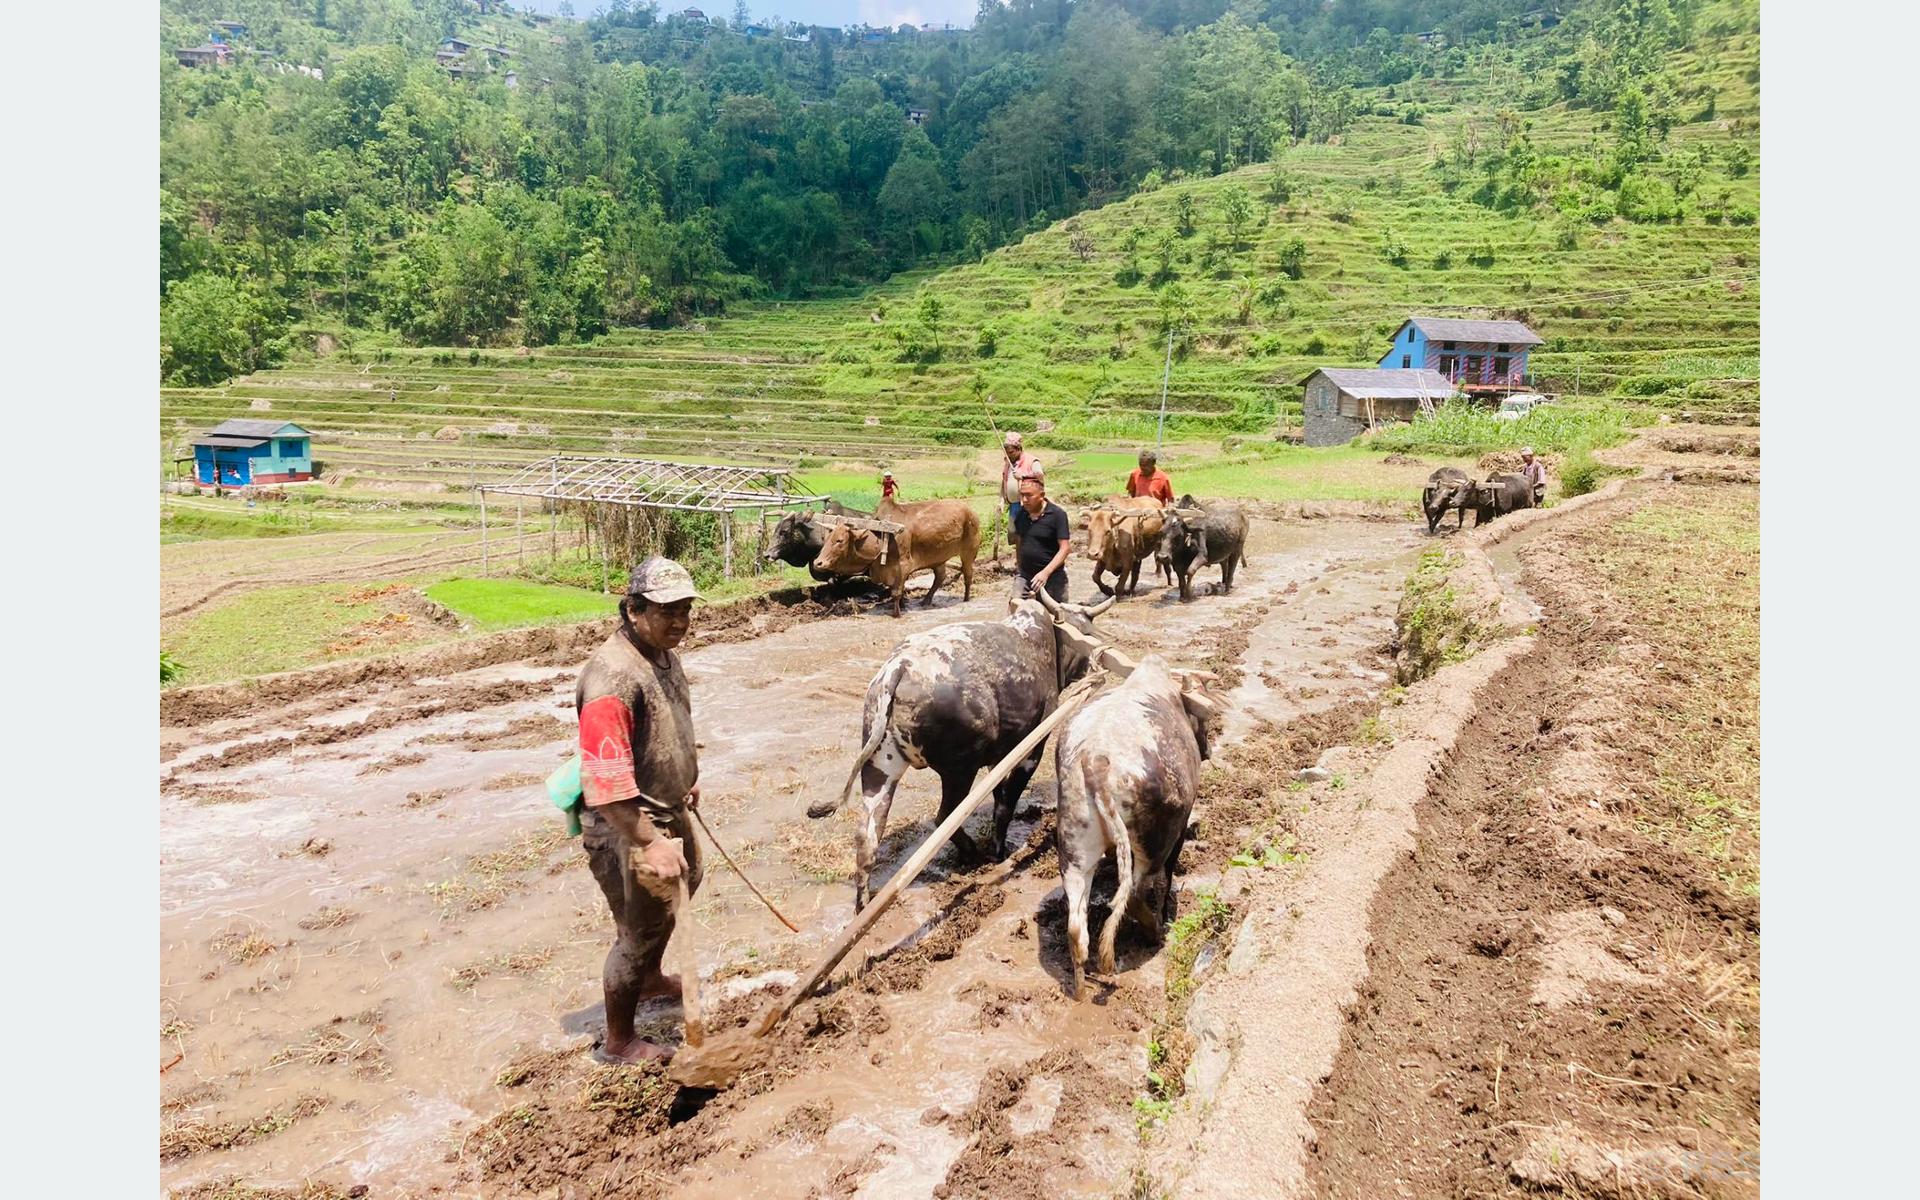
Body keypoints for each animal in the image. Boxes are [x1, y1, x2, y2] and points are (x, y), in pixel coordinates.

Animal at [806, 587, 1113, 906]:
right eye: (1086, 632)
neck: (1042, 640)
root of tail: (899, 667)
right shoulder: (1031, 748)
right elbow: (1006, 804)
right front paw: (998, 852)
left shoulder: (998, 756)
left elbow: (999, 796)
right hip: (959, 770)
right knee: (944, 817)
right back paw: (970, 853)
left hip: (880, 767)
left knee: (868, 835)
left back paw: (863, 904)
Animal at [810, 495, 983, 618]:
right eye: (826, 538)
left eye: (840, 540)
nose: (818, 562)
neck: (881, 537)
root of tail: (971, 511)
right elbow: (895, 589)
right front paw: (903, 605)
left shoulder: (903, 566)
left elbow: (896, 592)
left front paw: (897, 613)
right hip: (937, 558)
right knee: (940, 577)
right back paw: (926, 600)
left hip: (969, 552)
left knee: (968, 574)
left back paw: (966, 598)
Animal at [1059, 648, 1205, 998]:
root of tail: (1095, 758)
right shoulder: (1178, 830)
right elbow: (1166, 881)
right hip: (1153, 844)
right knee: (1137, 893)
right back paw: (1155, 932)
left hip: (1075, 851)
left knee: (1076, 929)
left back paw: (1081, 990)